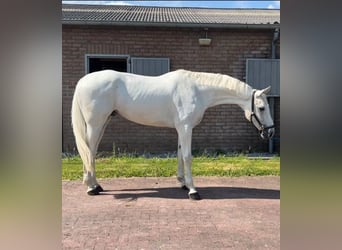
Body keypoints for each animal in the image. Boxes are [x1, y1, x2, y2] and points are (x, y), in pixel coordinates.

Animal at [71, 69, 274, 199]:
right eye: (262, 108)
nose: (270, 132)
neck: (197, 90)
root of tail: (82, 81)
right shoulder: (185, 127)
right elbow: (187, 156)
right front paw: (193, 191)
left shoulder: (181, 128)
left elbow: (179, 154)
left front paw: (183, 183)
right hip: (95, 124)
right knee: (89, 151)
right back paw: (91, 187)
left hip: (103, 123)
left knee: (90, 152)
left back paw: (96, 185)